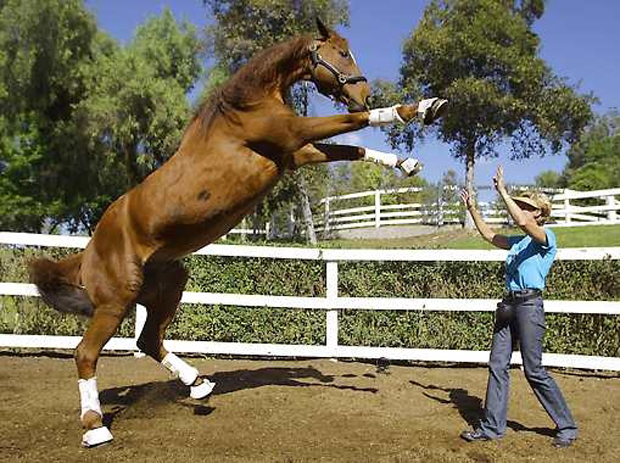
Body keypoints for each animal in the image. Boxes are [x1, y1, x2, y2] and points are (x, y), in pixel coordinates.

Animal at [30, 20, 446, 448]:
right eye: (343, 54)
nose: (363, 95)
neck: (246, 105)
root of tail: (89, 249)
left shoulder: (295, 153)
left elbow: (352, 149)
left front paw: (407, 163)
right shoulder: (294, 135)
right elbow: (354, 127)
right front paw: (422, 107)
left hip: (168, 284)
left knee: (147, 340)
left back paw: (198, 384)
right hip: (116, 301)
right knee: (85, 353)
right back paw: (95, 427)